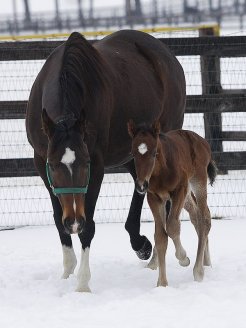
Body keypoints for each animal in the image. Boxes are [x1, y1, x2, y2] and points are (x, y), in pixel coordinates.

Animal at [128, 120, 216, 288]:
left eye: (154, 153)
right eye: (134, 154)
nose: (141, 186)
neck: (160, 171)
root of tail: (202, 141)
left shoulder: (179, 190)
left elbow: (173, 227)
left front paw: (184, 259)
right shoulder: (154, 198)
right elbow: (160, 237)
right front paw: (162, 284)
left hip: (198, 181)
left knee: (204, 218)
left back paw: (198, 270)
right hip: (187, 195)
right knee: (196, 216)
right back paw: (207, 262)